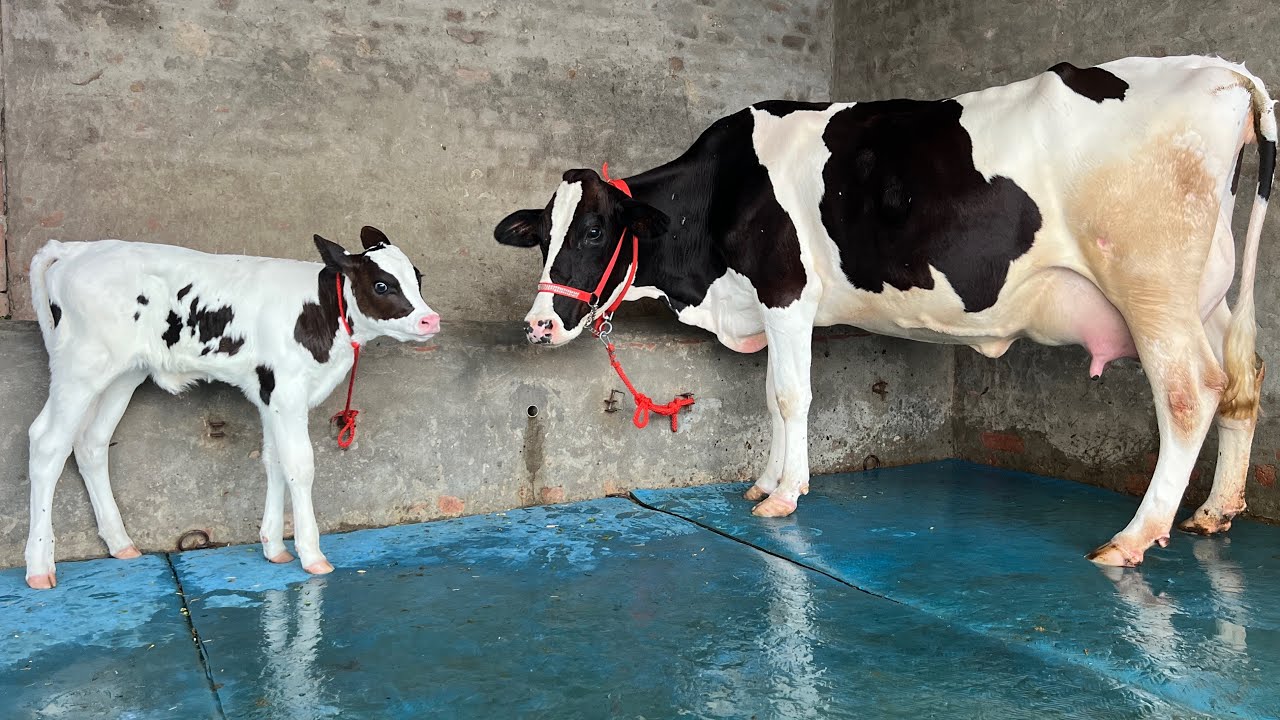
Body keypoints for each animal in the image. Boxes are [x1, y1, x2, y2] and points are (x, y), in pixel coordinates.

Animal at [24, 226, 440, 589]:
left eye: (418, 277)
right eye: (382, 284)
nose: (430, 319)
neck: (319, 311)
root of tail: (76, 249)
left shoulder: (270, 395)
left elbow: (274, 460)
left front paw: (274, 548)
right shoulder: (287, 391)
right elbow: (300, 466)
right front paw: (311, 554)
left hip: (122, 373)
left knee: (90, 442)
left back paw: (120, 543)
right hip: (81, 366)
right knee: (47, 443)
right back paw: (40, 567)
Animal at [495, 55, 1277, 567]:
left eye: (594, 231)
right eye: (543, 233)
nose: (538, 323)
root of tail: (1217, 69)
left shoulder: (785, 288)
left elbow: (790, 395)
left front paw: (784, 497)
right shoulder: (779, 306)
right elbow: (775, 396)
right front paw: (765, 482)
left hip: (1151, 286)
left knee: (1190, 393)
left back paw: (1134, 537)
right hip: (1203, 296)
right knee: (1240, 383)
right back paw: (1215, 512)